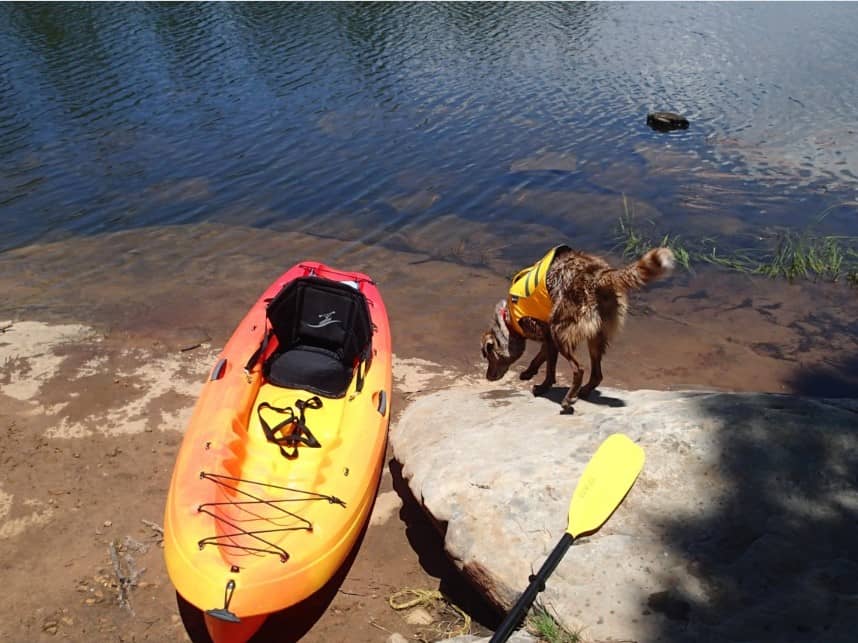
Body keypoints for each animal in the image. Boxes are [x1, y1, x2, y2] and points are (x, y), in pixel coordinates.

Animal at [478, 247, 672, 412]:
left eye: (488, 355)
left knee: (579, 369)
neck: (509, 318)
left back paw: (568, 399)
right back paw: (583, 391)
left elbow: (550, 369)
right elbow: (539, 357)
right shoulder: (547, 337)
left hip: (560, 328)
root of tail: (599, 276)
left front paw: (543, 386)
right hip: (596, 334)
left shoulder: (549, 334)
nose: (487, 377)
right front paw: (529, 372)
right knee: (597, 374)